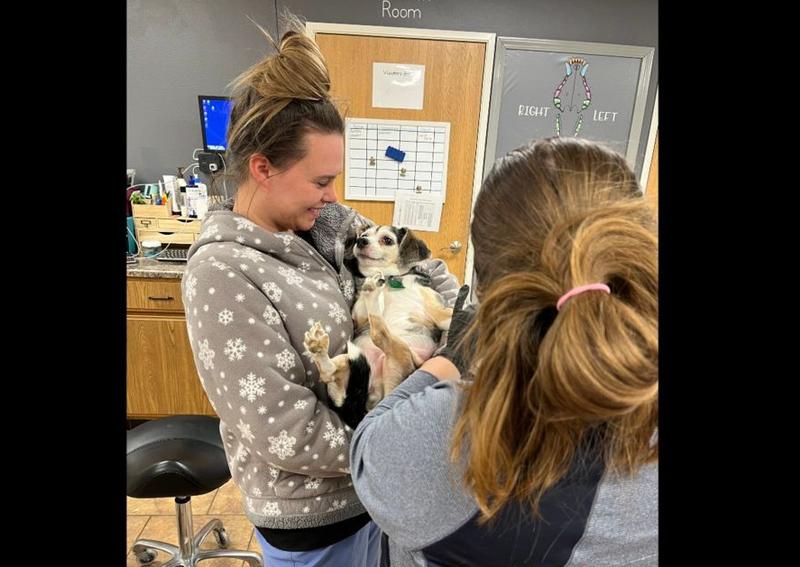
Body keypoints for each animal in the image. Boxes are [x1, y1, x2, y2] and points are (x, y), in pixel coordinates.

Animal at [304, 225, 454, 412]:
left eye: (387, 240)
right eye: (364, 235)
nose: (361, 241)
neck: (390, 280)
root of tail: (371, 400)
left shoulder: (439, 314)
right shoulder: (359, 318)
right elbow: (363, 308)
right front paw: (371, 287)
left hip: (401, 358)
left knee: (379, 337)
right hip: (359, 360)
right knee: (332, 371)